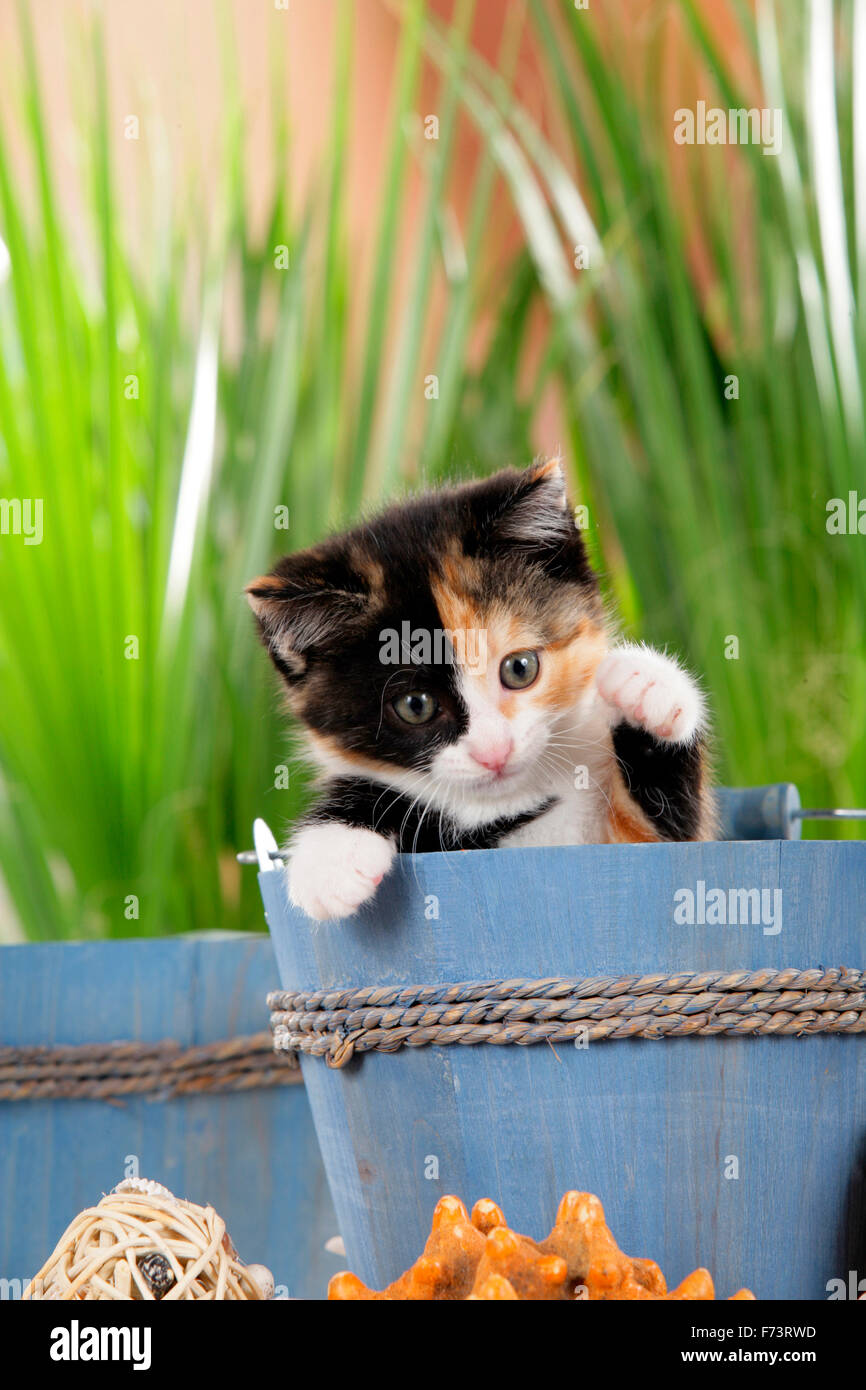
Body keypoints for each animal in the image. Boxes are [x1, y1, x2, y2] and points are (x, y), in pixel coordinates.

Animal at [247, 458, 717, 922]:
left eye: (520, 668)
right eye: (415, 706)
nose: (494, 751)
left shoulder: (636, 843)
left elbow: (669, 830)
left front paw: (649, 685)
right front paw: (332, 855)